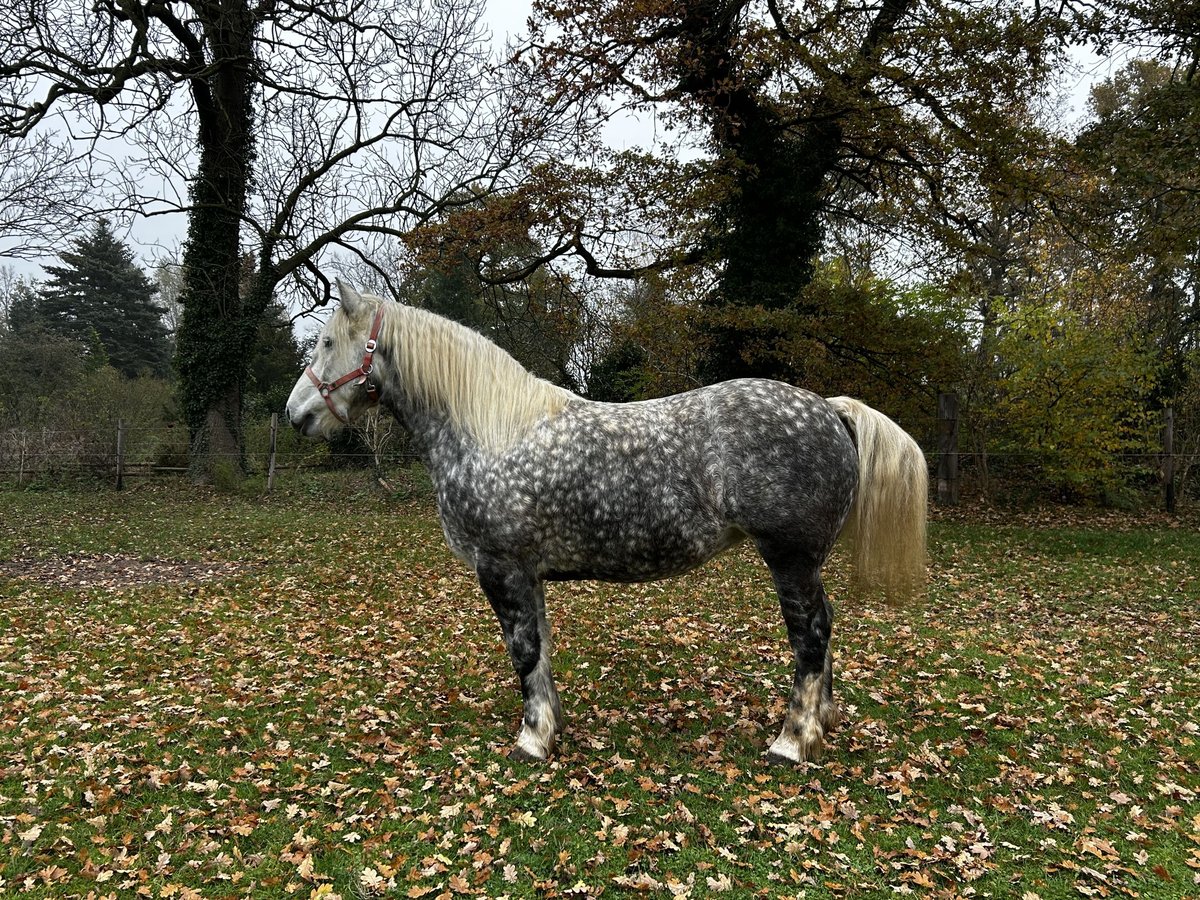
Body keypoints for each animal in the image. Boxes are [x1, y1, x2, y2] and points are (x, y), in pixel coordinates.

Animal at [288, 282, 926, 768]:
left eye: (326, 341)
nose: (297, 415)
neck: (488, 430)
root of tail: (830, 409)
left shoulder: (501, 568)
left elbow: (523, 651)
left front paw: (531, 740)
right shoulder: (528, 573)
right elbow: (541, 649)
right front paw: (550, 727)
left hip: (790, 559)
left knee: (810, 637)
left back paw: (792, 741)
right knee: (825, 629)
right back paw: (822, 723)